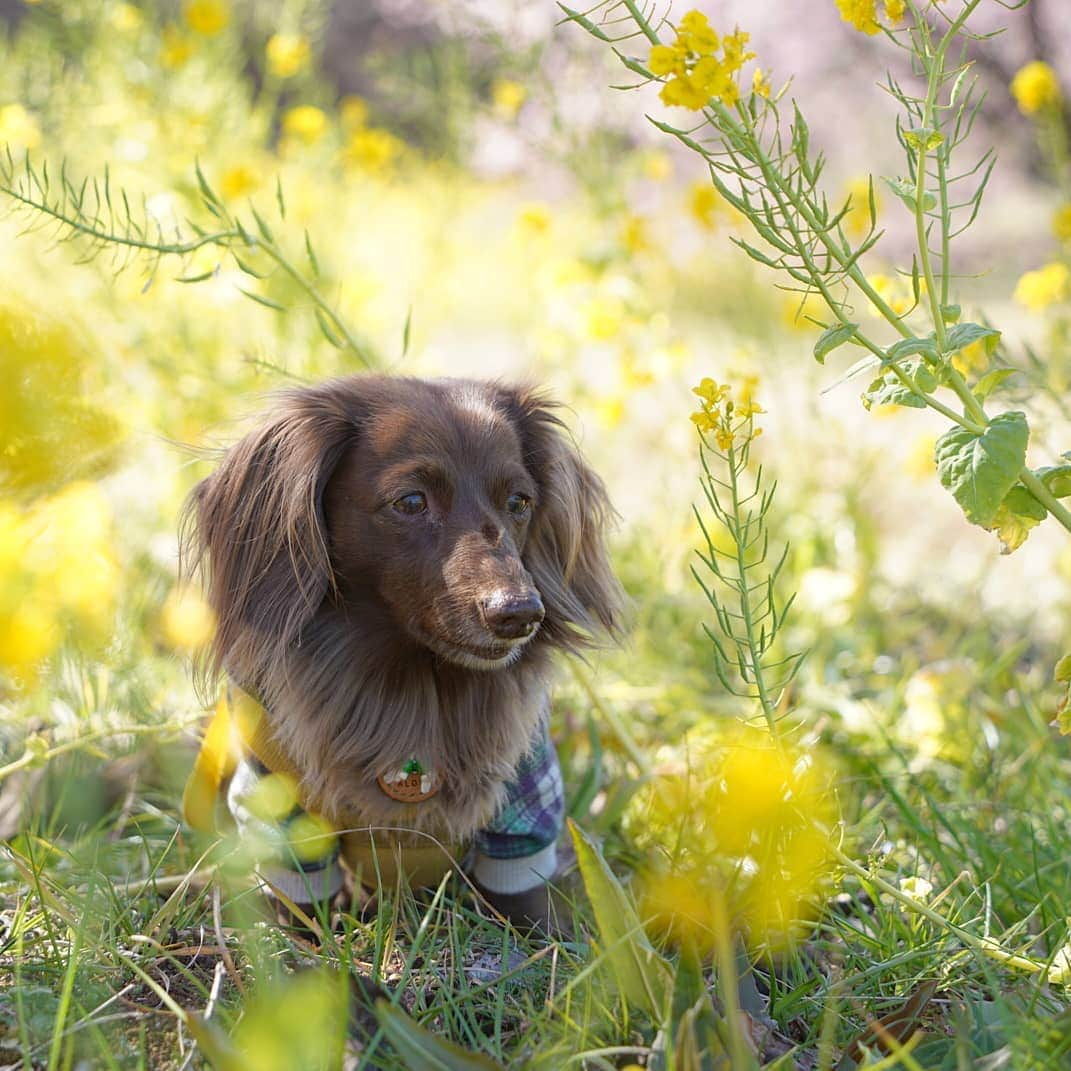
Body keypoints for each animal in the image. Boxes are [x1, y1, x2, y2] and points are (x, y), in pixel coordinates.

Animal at [180, 376, 625, 929]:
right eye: (411, 501)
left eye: (520, 501)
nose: (520, 614)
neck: (413, 685)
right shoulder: (279, 810)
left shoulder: (525, 805)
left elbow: (530, 909)